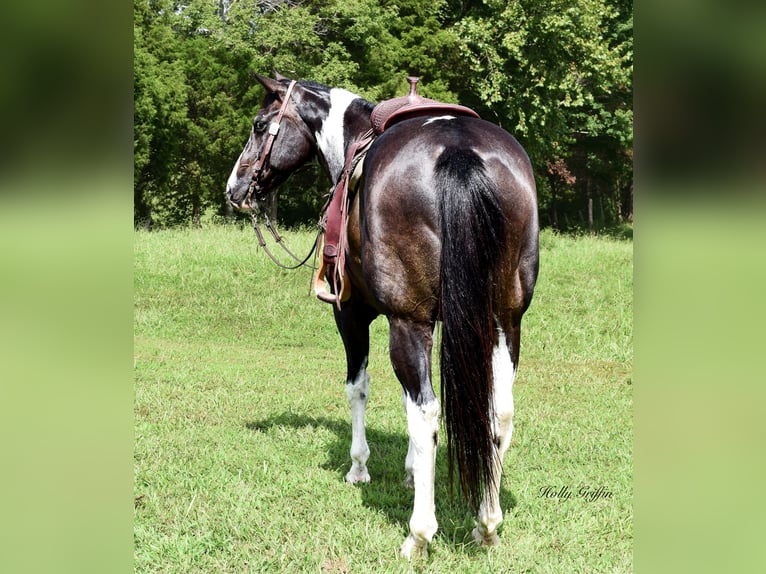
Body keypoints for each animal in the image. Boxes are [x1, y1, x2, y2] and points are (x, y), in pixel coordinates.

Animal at [226, 72, 540, 560]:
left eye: (260, 125)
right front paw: (412, 471)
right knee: (498, 414)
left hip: (408, 323)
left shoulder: (353, 314)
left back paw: (419, 533)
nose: (234, 189)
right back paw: (486, 524)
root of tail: (458, 150)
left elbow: (359, 387)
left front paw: (359, 467)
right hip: (505, 321)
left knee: (428, 413)